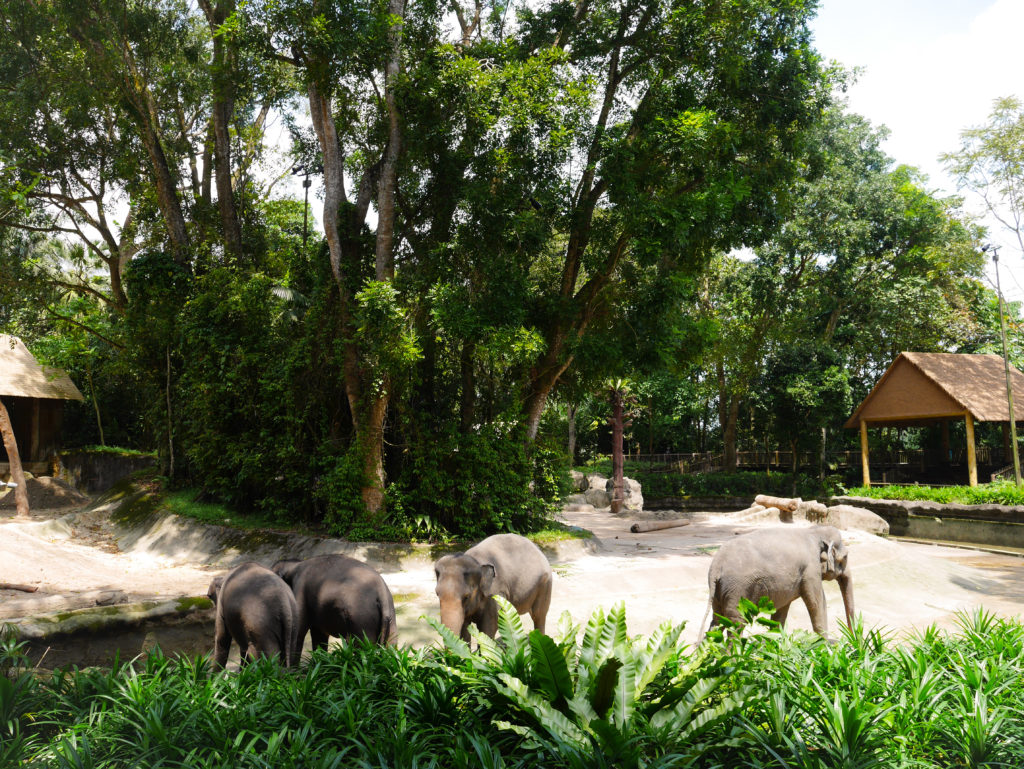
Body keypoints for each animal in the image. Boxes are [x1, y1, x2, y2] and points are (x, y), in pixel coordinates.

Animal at [696, 528, 856, 638]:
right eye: (846, 557)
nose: (853, 643)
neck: (814, 531)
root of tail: (716, 565)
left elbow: (781, 612)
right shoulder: (810, 570)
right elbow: (817, 604)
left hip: (719, 591)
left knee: (717, 621)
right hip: (737, 589)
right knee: (735, 623)